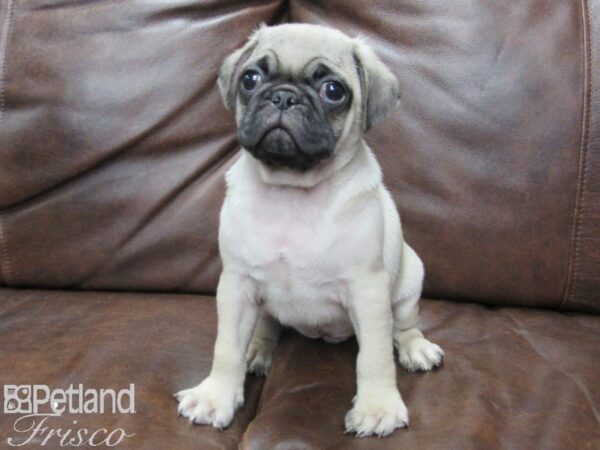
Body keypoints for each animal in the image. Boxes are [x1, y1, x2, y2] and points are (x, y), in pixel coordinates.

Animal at [176, 22, 442, 438]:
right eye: (250, 79)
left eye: (333, 91)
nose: (284, 96)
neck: (292, 191)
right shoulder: (236, 285)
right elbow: (226, 347)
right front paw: (216, 396)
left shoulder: (368, 291)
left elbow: (375, 356)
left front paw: (377, 407)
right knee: (266, 327)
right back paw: (257, 349)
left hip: (409, 280)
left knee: (403, 326)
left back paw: (416, 348)